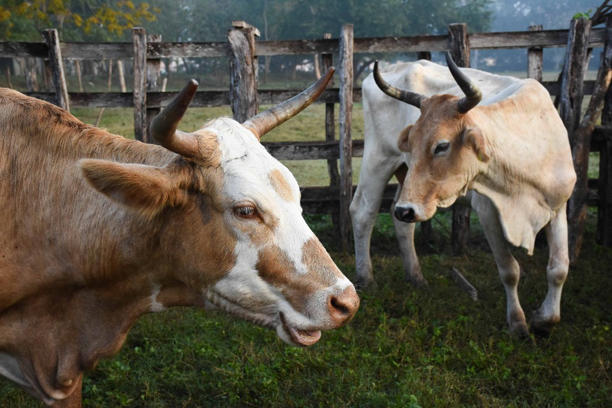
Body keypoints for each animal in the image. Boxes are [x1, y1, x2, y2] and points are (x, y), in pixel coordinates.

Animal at [352, 55, 576, 336]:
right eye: (412, 143)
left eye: (442, 145)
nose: (407, 209)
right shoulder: (488, 211)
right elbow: (509, 269)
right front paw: (517, 323)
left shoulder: (558, 207)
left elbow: (559, 268)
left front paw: (545, 318)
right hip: (378, 159)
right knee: (363, 212)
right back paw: (366, 278)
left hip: (406, 181)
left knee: (400, 220)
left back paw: (416, 277)